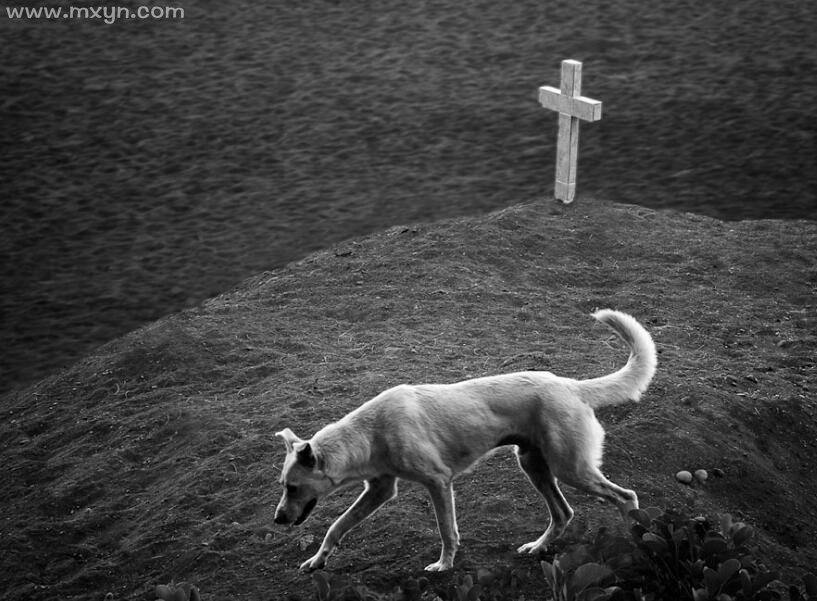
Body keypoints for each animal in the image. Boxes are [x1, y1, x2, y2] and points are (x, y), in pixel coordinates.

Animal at [274, 312, 656, 568]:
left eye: (292, 487)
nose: (277, 519)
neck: (369, 433)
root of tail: (570, 385)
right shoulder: (380, 489)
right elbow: (337, 526)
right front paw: (318, 561)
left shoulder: (438, 482)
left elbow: (447, 530)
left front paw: (444, 565)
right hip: (533, 464)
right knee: (563, 512)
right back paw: (538, 547)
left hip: (569, 468)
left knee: (626, 496)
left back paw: (640, 539)